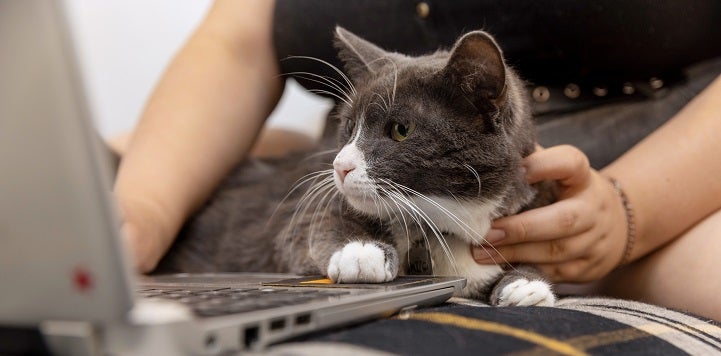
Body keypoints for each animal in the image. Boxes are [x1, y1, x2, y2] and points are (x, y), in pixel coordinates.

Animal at [159, 27, 556, 306]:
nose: (340, 165)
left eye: (401, 130)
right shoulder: (304, 211)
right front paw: (362, 251)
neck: (443, 227)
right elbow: (311, 227)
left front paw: (526, 284)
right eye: (349, 128)